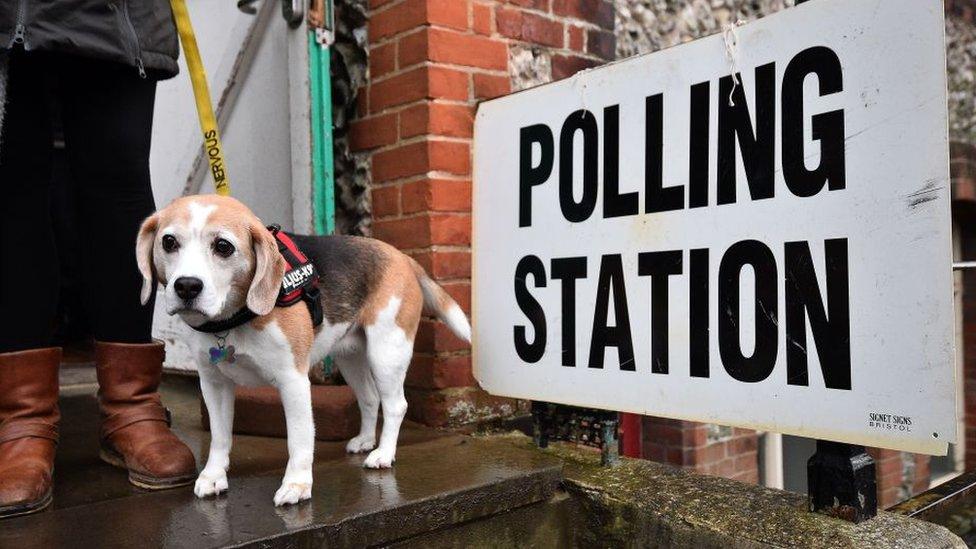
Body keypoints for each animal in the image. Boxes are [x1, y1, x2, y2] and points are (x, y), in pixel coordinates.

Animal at [137, 196, 472, 506]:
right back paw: (365, 440)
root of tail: (401, 256)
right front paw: (213, 476)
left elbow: (298, 439)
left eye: (223, 246)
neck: (235, 318)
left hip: (387, 352)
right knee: (369, 398)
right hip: (350, 357)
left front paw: (297, 485)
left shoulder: (293, 381)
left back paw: (383, 453)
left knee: (395, 405)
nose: (186, 286)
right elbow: (219, 437)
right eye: (169, 242)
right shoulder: (213, 383)